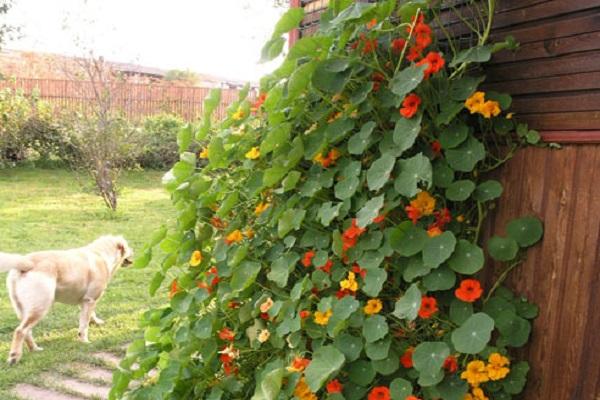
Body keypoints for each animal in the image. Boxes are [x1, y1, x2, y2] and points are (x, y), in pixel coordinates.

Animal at [0, 236, 134, 364]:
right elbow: (84, 325)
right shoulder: (90, 300)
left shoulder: (85, 301)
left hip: (23, 310)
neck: (101, 254)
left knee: (27, 332)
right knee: (20, 331)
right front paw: (84, 341)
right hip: (41, 307)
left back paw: (34, 349)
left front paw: (96, 322)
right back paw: (14, 357)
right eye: (128, 246)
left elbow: (91, 314)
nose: (134, 251)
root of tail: (28, 263)